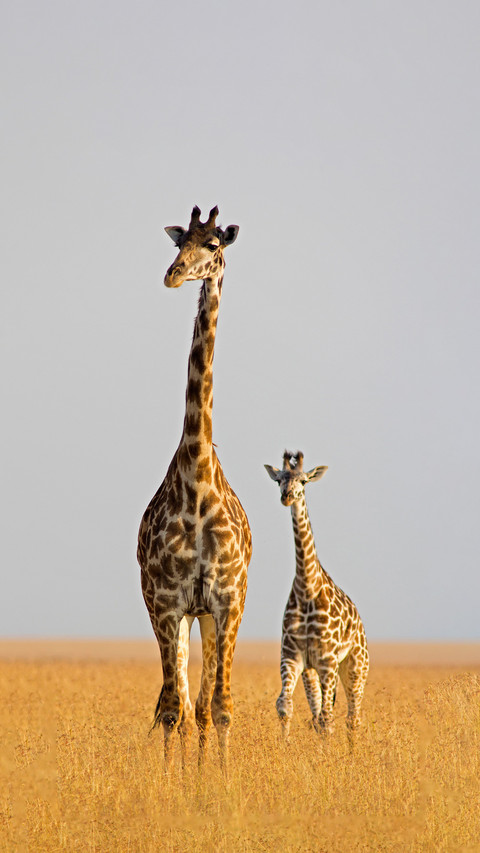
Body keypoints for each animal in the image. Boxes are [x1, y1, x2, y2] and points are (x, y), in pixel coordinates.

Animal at [265, 451, 368, 742]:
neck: (306, 588)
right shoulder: (293, 656)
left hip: (355, 667)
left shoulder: (327, 660)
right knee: (318, 715)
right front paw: (285, 747)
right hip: (313, 671)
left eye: (304, 480)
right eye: (278, 479)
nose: (287, 496)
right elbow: (284, 706)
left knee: (351, 718)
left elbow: (328, 719)